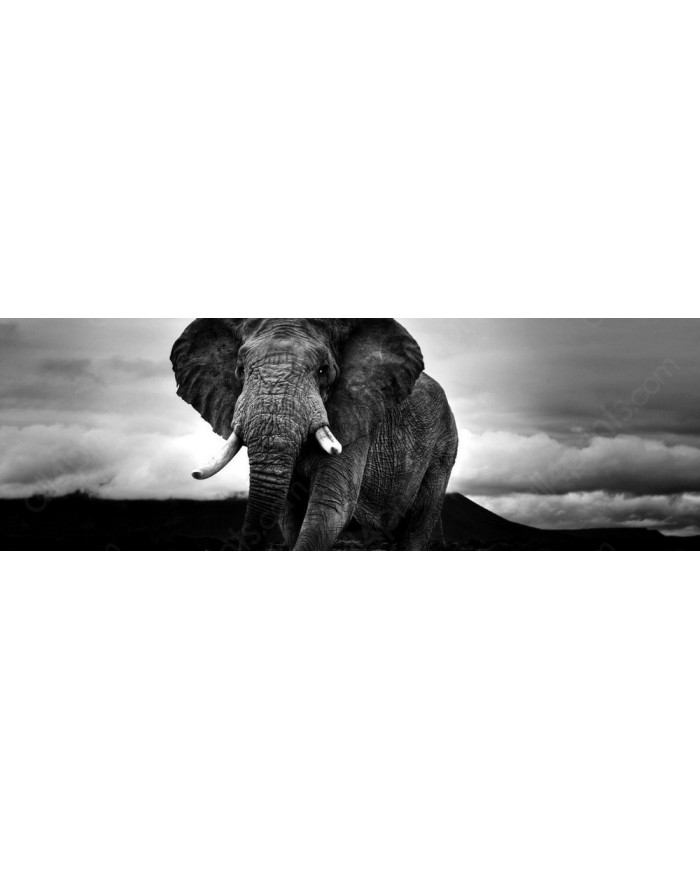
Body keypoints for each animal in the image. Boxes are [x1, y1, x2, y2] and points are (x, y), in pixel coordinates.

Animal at [171, 318, 459, 551]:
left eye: (323, 370)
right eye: (240, 369)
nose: (193, 474)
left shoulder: (358, 415)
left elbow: (330, 507)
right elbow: (290, 516)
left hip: (443, 449)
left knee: (417, 525)